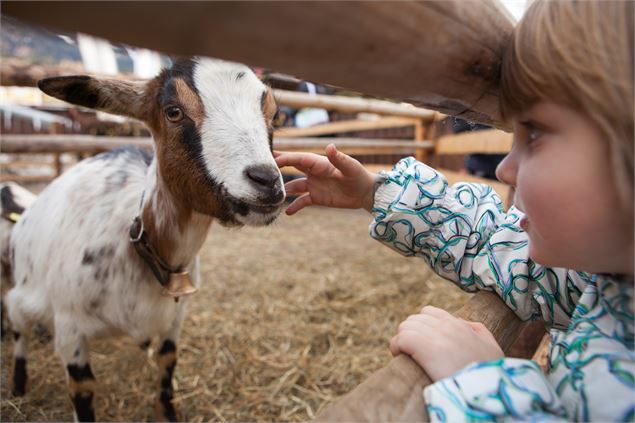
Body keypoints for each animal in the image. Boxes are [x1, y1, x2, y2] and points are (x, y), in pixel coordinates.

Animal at [6, 58, 284, 422]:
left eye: (275, 114)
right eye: (173, 111)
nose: (267, 181)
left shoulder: (175, 319)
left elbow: (167, 361)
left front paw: (167, 411)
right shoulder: (70, 330)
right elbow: (83, 389)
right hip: (24, 294)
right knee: (17, 326)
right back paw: (18, 384)